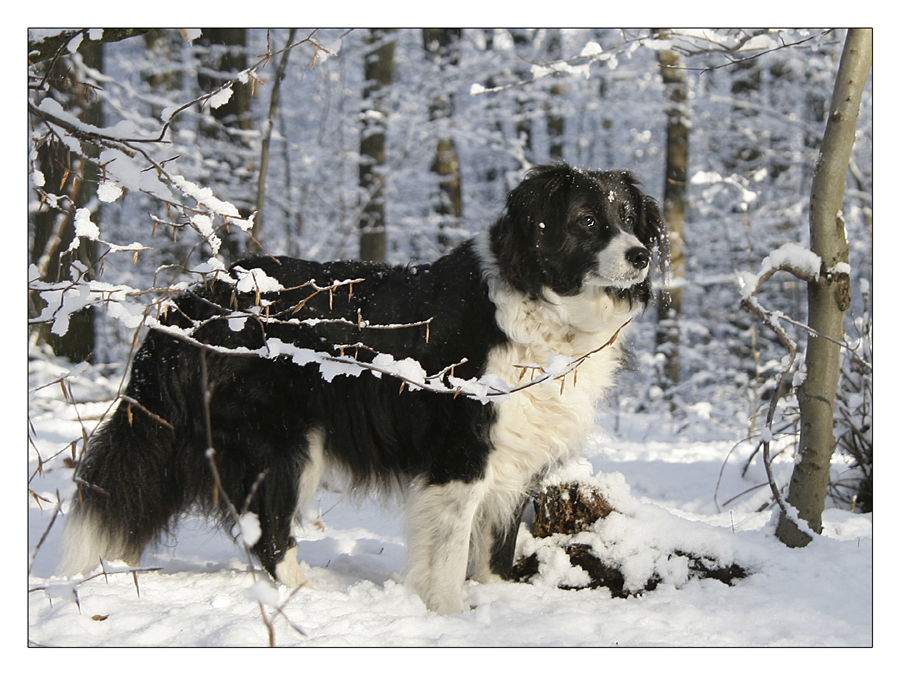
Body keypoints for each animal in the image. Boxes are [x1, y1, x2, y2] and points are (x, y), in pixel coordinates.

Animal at [56, 162, 660, 612]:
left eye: (629, 217)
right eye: (587, 221)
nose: (641, 255)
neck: (540, 305)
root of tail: (193, 299)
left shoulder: (515, 457)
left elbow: (494, 553)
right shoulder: (461, 454)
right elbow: (447, 556)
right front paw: (449, 619)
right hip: (280, 446)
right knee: (270, 534)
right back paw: (307, 597)